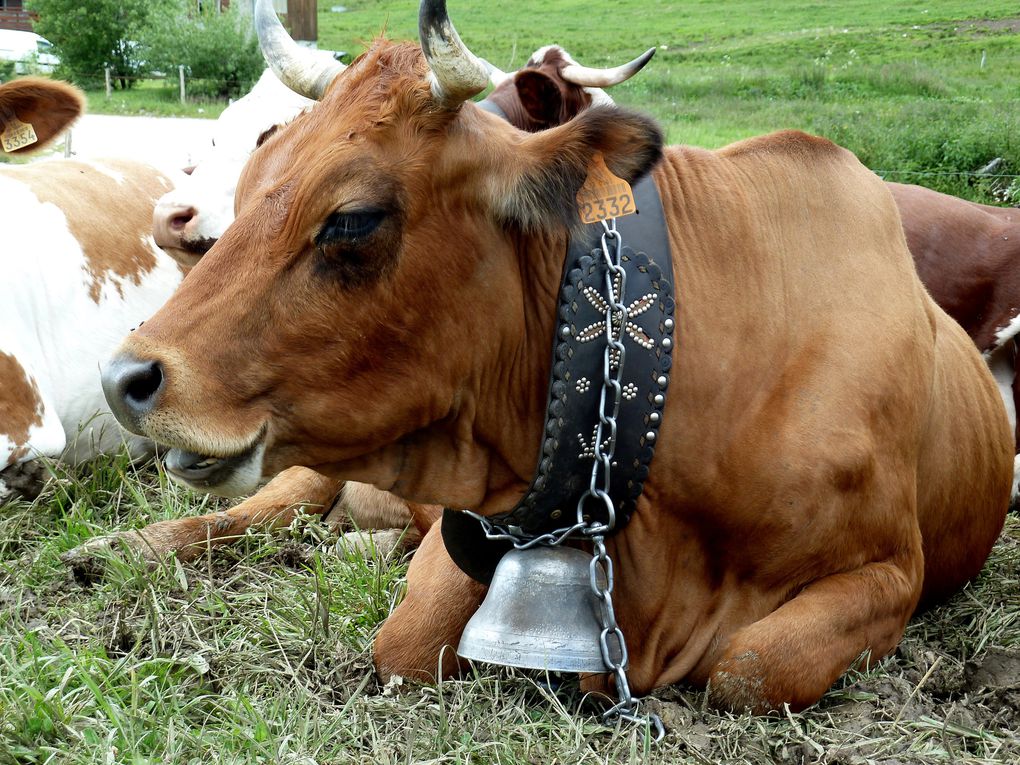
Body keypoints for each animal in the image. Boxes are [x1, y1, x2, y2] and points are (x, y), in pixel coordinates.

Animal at [97, 0, 1011, 718]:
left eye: (352, 218)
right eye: (253, 176)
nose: (124, 378)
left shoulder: (891, 569)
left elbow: (748, 668)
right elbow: (402, 642)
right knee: (263, 508)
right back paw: (125, 546)